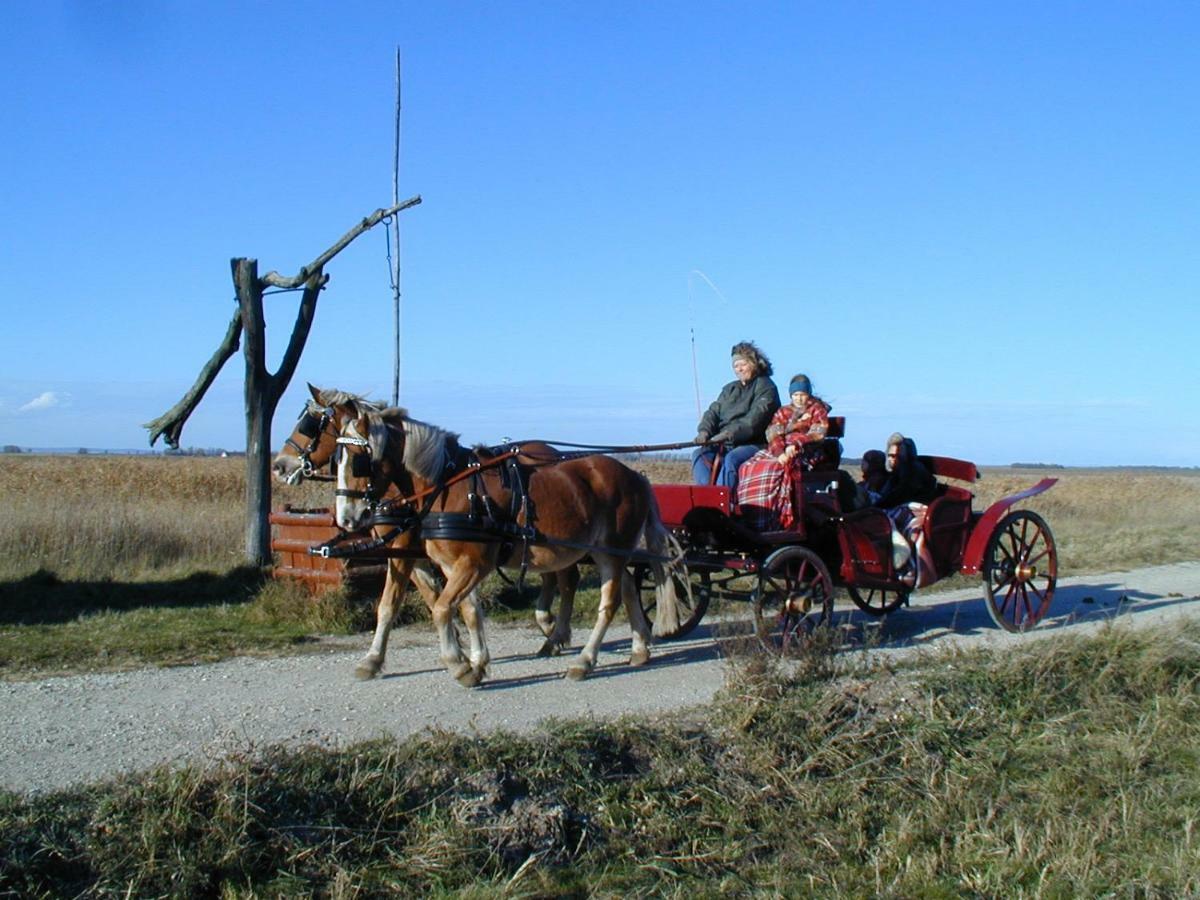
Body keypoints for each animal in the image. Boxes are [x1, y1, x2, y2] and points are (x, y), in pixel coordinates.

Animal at [271, 384, 585, 672]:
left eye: (309, 425)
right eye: (338, 457)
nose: (278, 466)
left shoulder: (410, 549)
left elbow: (400, 602)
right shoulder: (417, 552)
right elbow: (436, 599)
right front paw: (463, 648)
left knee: (566, 578)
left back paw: (554, 631)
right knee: (556, 575)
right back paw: (550, 629)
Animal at [328, 398, 686, 686]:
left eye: (358, 459)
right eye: (336, 458)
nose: (346, 518)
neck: (449, 486)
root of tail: (635, 475)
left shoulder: (473, 562)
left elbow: (442, 608)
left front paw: (458, 666)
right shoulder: (449, 564)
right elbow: (466, 610)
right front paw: (476, 664)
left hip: (611, 550)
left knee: (608, 604)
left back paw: (583, 661)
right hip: (605, 551)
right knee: (626, 588)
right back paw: (638, 649)